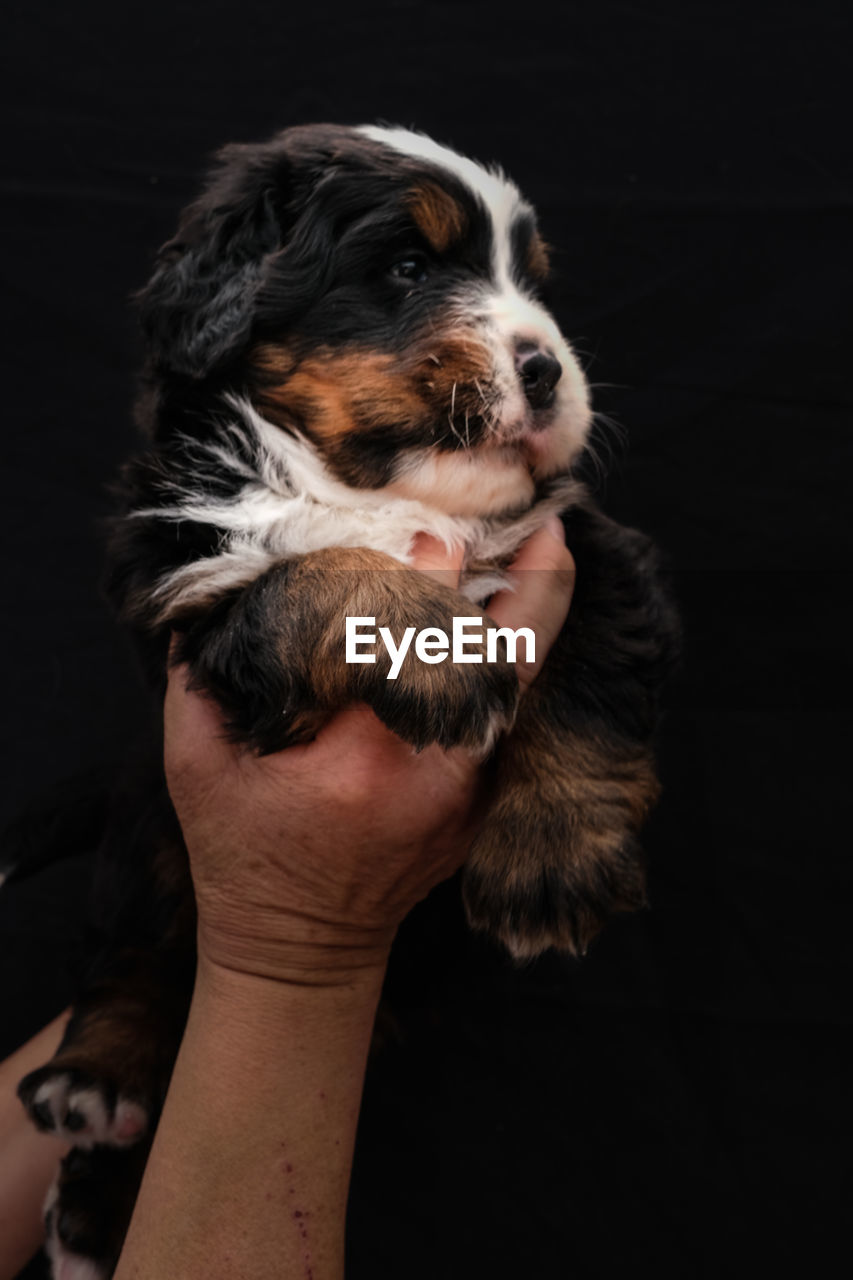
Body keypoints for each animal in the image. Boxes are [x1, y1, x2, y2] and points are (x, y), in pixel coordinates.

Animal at [11, 127, 676, 1280]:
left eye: (531, 282)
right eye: (407, 267)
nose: (547, 367)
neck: (376, 489)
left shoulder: (582, 545)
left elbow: (587, 678)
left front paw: (550, 860)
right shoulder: (194, 589)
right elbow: (314, 577)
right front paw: (444, 653)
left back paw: (94, 1206)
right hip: (148, 813)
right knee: (134, 952)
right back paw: (91, 1087)